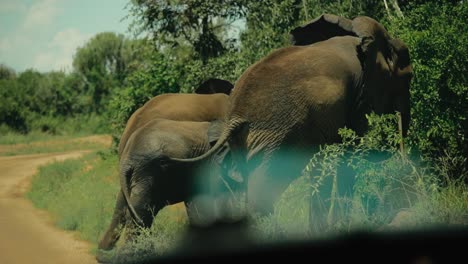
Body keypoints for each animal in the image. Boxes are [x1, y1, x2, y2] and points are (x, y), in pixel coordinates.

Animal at [176, 14, 414, 221]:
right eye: (409, 78)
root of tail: (235, 117)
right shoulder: (359, 97)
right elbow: (348, 154)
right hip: (276, 137)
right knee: (263, 191)